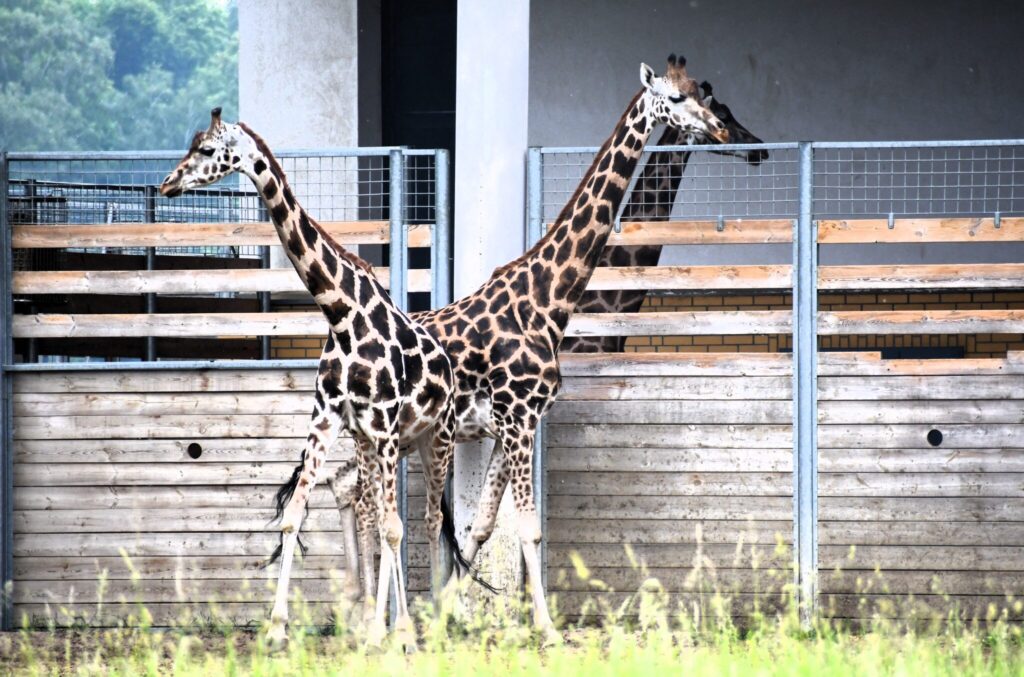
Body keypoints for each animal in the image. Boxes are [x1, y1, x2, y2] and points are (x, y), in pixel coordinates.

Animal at [159, 109, 458, 650]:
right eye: (191, 145)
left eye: (208, 150)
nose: (167, 184)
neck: (341, 315)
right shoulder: (330, 421)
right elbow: (296, 514)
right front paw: (277, 628)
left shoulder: (384, 427)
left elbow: (394, 528)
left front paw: (392, 632)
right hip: (379, 445)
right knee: (378, 512)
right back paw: (389, 625)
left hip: (433, 438)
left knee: (426, 519)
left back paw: (420, 628)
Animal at [331, 55, 730, 641]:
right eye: (676, 99)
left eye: (701, 95)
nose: (721, 129)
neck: (546, 297)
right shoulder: (518, 418)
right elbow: (527, 528)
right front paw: (544, 626)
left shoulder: (514, 425)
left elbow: (481, 525)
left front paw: (452, 611)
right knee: (355, 501)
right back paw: (367, 619)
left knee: (350, 497)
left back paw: (364, 616)